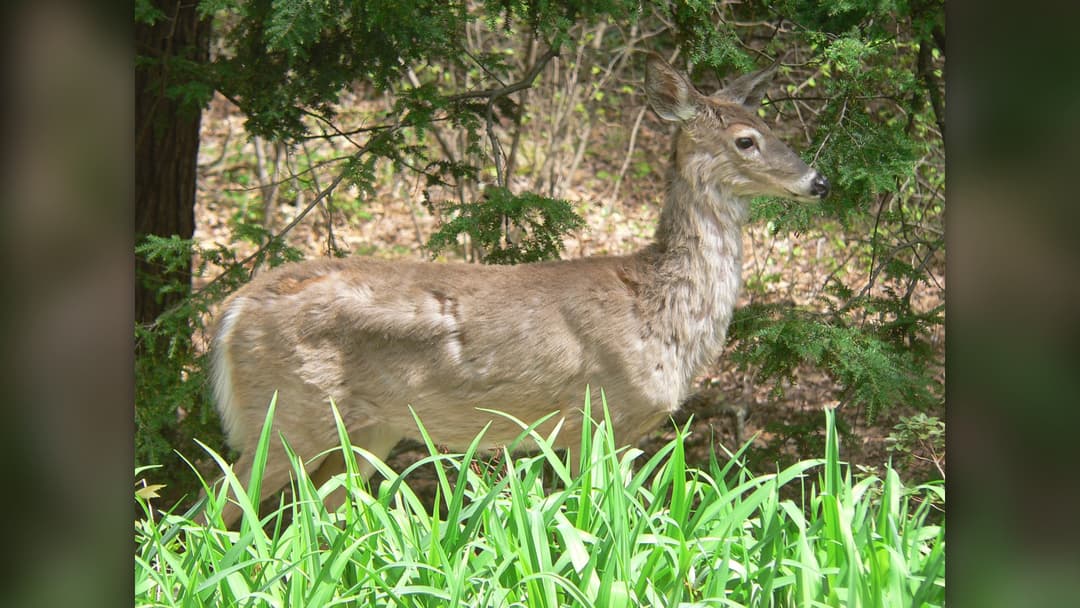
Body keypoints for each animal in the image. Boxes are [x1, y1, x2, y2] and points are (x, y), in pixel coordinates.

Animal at [207, 53, 829, 525]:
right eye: (746, 140)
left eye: (775, 130)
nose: (818, 180)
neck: (656, 308)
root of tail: (233, 310)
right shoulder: (595, 414)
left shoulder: (626, 432)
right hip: (285, 416)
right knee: (210, 511)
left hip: (366, 432)